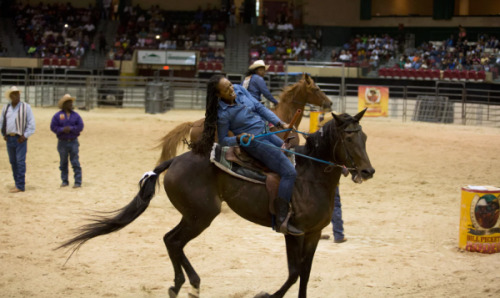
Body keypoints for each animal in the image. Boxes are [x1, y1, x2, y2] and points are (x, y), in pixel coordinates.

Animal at [59, 109, 376, 298]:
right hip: (201, 215)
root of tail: (176, 160)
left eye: (365, 136)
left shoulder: (312, 234)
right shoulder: (292, 232)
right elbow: (294, 271)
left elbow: (305, 274)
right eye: (349, 138)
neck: (309, 176)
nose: (367, 171)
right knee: (173, 241)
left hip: (194, 215)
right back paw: (186, 284)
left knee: (172, 241)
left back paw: (186, 284)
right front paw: (268, 295)